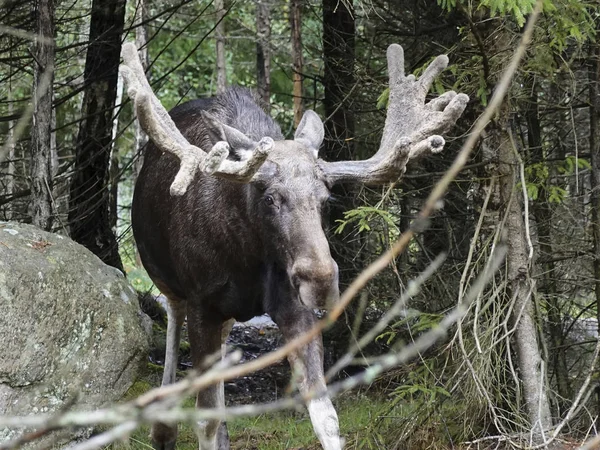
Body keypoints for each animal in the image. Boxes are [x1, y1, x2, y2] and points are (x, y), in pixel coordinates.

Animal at [119, 40, 468, 448]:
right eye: (270, 197)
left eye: (326, 199)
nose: (320, 279)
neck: (244, 259)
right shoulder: (202, 303)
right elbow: (204, 419)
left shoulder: (294, 306)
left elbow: (326, 415)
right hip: (168, 283)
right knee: (174, 330)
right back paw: (162, 426)